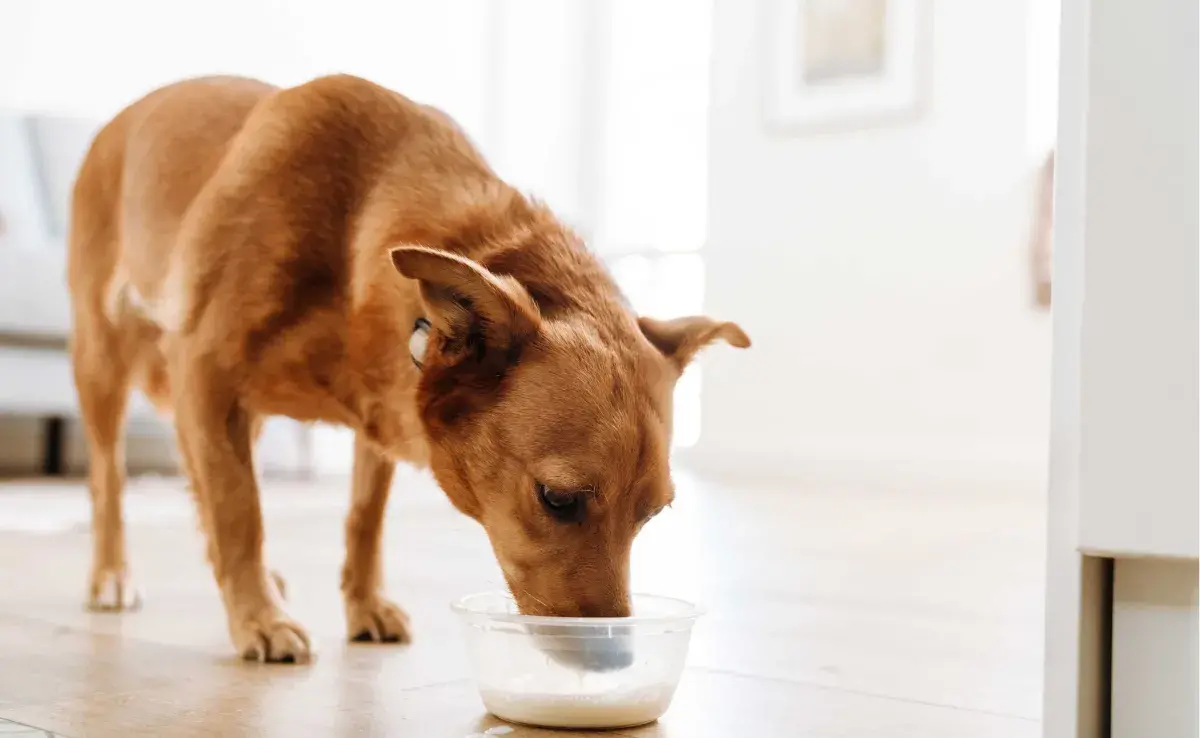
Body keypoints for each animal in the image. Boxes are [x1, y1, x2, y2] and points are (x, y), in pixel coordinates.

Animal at [68, 75, 748, 662]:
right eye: (558, 499)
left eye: (651, 515)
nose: (614, 661)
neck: (352, 229)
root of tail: (125, 116)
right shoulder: (206, 374)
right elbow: (241, 512)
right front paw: (259, 618)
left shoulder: (374, 417)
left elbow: (363, 520)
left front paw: (362, 605)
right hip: (104, 365)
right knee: (110, 479)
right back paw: (111, 575)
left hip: (238, 415)